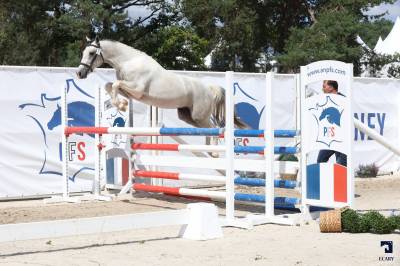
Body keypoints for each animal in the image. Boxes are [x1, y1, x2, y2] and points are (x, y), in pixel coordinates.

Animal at [76, 36, 245, 130]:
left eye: (91, 53)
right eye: (83, 52)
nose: (79, 73)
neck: (128, 61)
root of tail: (209, 88)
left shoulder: (137, 90)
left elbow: (116, 84)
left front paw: (121, 105)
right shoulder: (131, 91)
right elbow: (110, 86)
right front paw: (122, 105)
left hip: (199, 116)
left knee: (214, 129)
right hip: (188, 116)